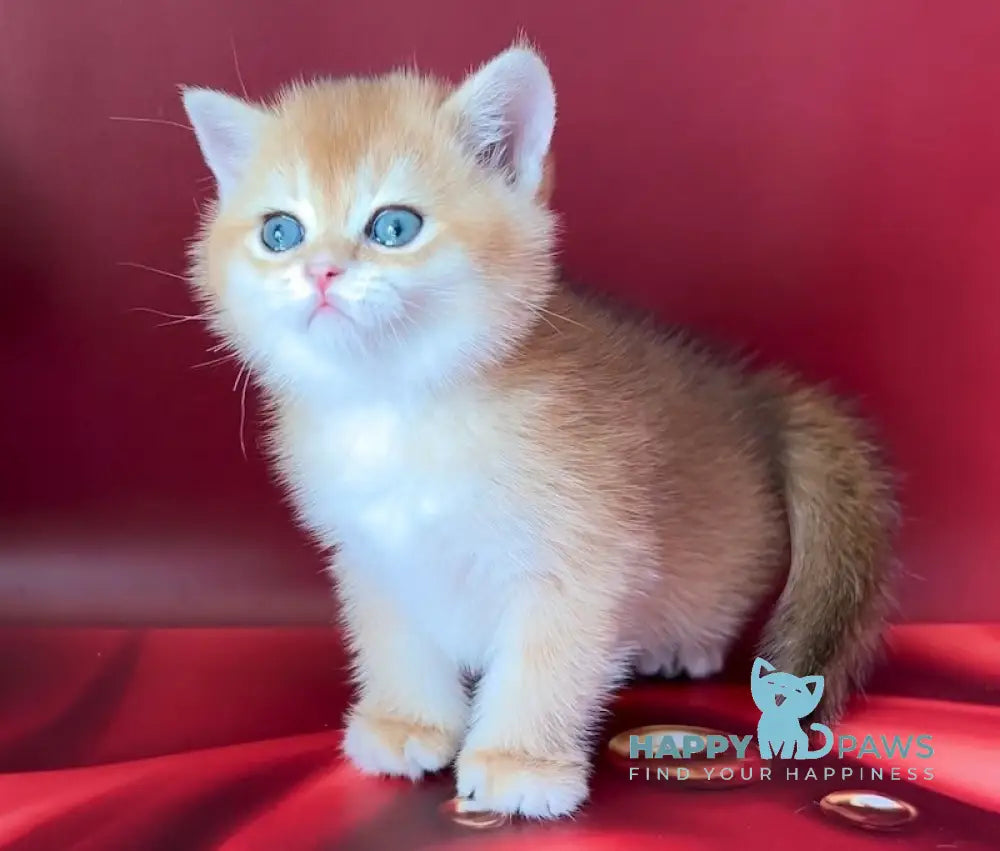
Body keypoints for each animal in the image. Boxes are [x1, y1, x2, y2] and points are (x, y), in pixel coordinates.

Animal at [180, 45, 900, 820]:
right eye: (280, 232)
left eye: (394, 227)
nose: (320, 271)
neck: (402, 407)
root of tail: (752, 395)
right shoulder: (375, 555)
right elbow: (396, 639)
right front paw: (408, 722)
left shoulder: (582, 557)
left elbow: (546, 662)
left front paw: (519, 762)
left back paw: (679, 646)